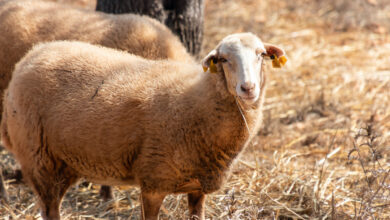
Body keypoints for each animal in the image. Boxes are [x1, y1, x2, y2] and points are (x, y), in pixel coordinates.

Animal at [0, 33, 286, 220]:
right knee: (48, 209)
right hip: (39, 159)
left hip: (64, 162)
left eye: (261, 55)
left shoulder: (197, 187)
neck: (197, 100)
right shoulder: (153, 182)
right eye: (223, 59)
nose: (248, 88)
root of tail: (32, 54)